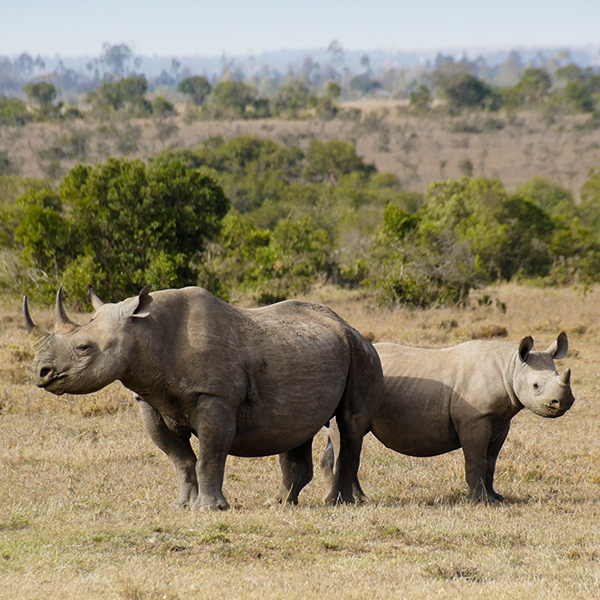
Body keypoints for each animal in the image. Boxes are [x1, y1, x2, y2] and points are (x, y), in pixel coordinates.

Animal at [25, 288, 382, 510]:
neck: (145, 333)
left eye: (84, 347)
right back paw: (280, 503)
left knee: (349, 425)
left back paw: (335, 504)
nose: (41, 372)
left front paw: (211, 508)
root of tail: (347, 324)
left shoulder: (215, 396)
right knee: (297, 428)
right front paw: (182, 505)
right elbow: (181, 459)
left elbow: (211, 454)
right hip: (307, 349)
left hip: (362, 352)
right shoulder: (149, 399)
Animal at [322, 332, 576, 502]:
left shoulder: (500, 420)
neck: (511, 367)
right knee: (350, 436)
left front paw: (496, 497)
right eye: (535, 386)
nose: (563, 403)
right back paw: (359, 499)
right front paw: (480, 501)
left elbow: (491, 461)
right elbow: (476, 459)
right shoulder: (476, 419)